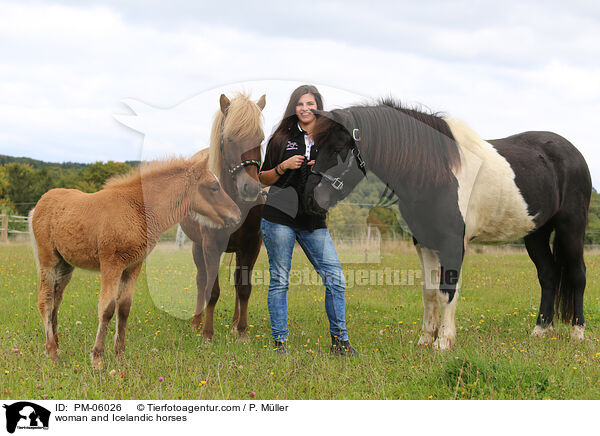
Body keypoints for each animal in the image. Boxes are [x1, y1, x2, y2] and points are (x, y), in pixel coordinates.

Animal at [31, 155, 239, 366]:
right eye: (214, 187)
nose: (237, 214)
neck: (136, 208)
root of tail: (40, 202)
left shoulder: (133, 266)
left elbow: (123, 308)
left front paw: (120, 355)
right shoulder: (111, 264)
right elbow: (107, 308)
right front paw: (97, 357)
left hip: (65, 265)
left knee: (56, 301)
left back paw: (56, 344)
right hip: (49, 260)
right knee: (45, 300)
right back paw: (52, 351)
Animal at [179, 92, 266, 340]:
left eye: (260, 138)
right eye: (229, 139)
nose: (250, 188)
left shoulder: (251, 245)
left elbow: (244, 288)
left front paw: (242, 332)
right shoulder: (211, 245)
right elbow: (212, 289)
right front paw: (208, 333)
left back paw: (235, 322)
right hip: (197, 246)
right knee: (201, 281)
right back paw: (197, 322)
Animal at [304, 99, 592, 350]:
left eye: (340, 147)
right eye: (316, 146)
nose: (311, 198)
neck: (435, 170)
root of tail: (573, 152)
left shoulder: (453, 243)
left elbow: (447, 291)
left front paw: (443, 342)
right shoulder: (424, 242)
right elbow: (429, 291)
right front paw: (425, 339)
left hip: (571, 228)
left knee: (577, 274)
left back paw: (577, 333)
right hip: (536, 233)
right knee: (548, 275)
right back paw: (540, 331)